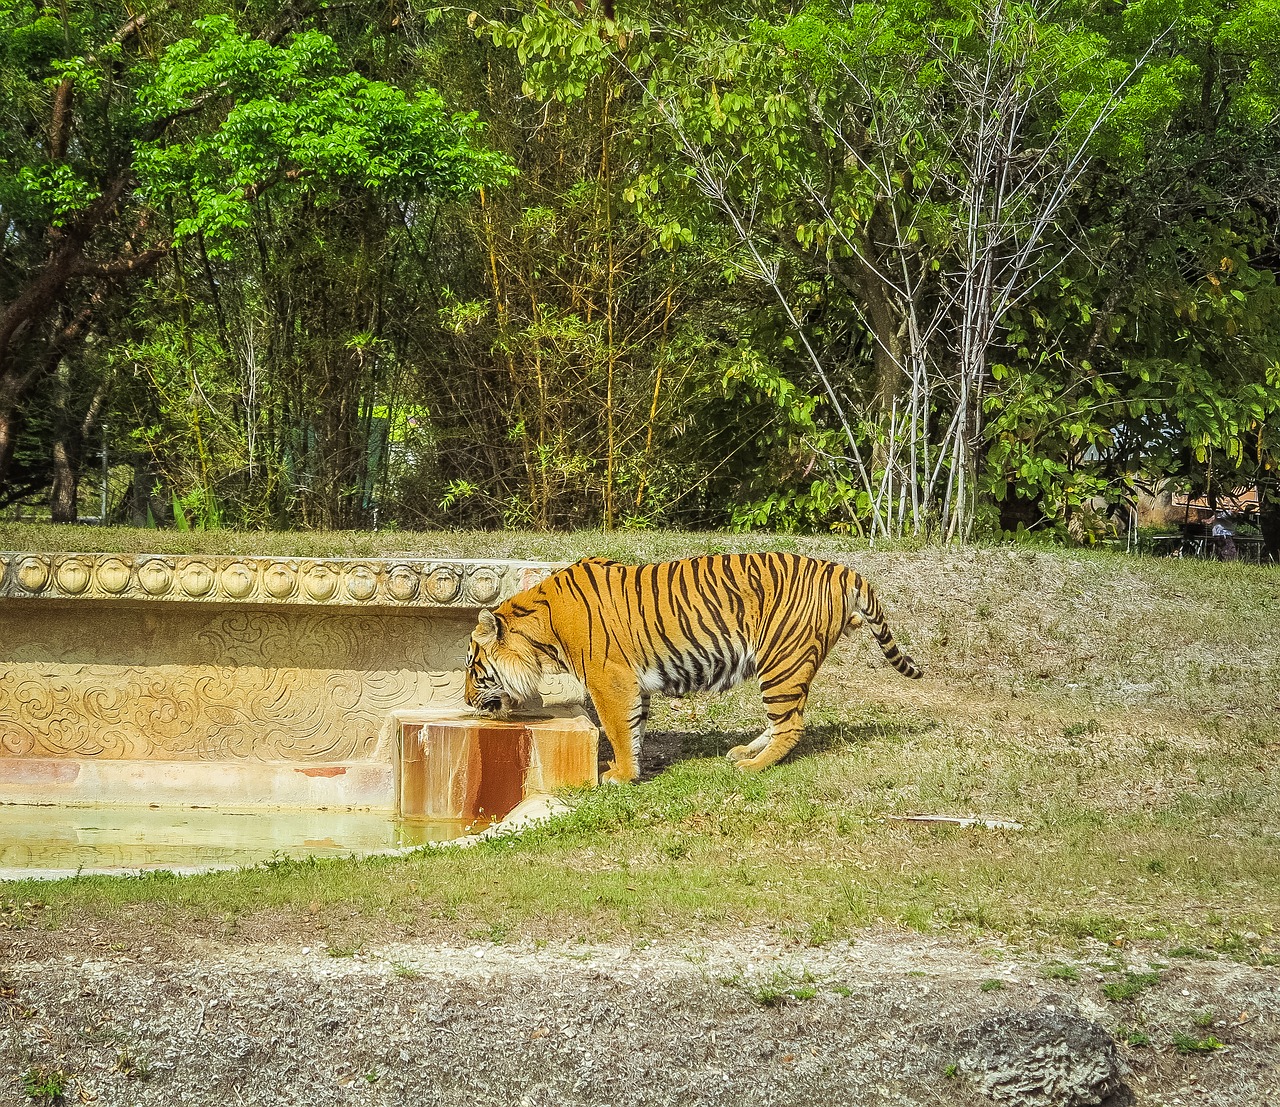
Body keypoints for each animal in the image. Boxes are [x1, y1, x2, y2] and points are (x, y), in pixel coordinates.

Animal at [463, 550, 921, 778]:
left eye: (471, 667)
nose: (466, 701)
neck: (541, 632)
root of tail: (842, 570)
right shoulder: (632, 683)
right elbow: (635, 728)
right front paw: (629, 768)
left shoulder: (609, 679)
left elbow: (617, 728)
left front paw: (620, 775)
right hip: (783, 666)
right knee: (782, 720)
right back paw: (744, 751)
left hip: (782, 660)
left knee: (790, 725)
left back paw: (754, 766)